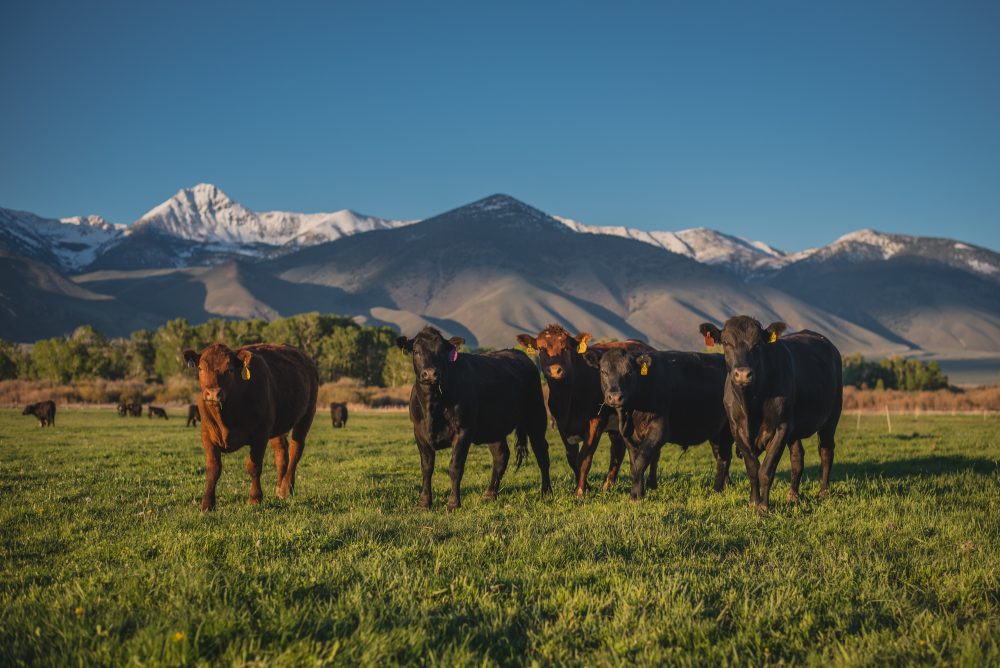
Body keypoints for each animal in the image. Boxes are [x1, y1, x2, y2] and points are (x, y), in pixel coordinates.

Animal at [183, 344, 316, 512]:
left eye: (230, 369)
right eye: (200, 368)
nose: (213, 393)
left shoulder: (260, 434)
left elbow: (254, 466)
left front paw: (255, 498)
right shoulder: (207, 435)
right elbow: (213, 468)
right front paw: (207, 504)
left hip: (306, 415)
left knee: (295, 451)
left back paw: (286, 488)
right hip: (277, 427)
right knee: (281, 453)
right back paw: (279, 489)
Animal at [394, 326, 552, 508]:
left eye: (441, 352)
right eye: (416, 351)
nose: (431, 373)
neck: (432, 407)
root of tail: (521, 355)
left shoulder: (463, 431)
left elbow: (455, 467)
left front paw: (453, 503)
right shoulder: (419, 433)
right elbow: (427, 467)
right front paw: (424, 502)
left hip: (536, 416)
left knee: (541, 452)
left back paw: (546, 492)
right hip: (494, 428)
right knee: (501, 456)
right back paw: (490, 494)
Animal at [516, 324, 664, 496]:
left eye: (566, 348)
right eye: (541, 348)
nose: (554, 370)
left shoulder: (595, 421)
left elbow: (584, 458)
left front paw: (580, 491)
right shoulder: (561, 424)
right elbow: (572, 458)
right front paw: (586, 486)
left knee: (654, 451)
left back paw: (652, 483)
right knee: (617, 451)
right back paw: (607, 485)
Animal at [580, 348, 736, 498]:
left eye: (629, 372)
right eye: (603, 371)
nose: (615, 397)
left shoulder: (659, 430)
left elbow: (641, 461)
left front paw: (635, 496)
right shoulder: (629, 436)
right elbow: (634, 464)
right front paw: (640, 491)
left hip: (728, 430)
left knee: (724, 458)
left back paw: (717, 489)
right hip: (716, 433)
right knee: (721, 456)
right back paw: (725, 486)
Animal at [696, 318, 844, 512]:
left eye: (758, 344)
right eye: (726, 342)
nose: (742, 374)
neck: (750, 405)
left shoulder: (781, 427)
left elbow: (766, 470)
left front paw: (763, 507)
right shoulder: (736, 428)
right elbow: (752, 469)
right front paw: (753, 502)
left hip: (831, 417)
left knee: (826, 451)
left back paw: (824, 492)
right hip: (795, 428)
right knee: (797, 457)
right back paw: (793, 495)